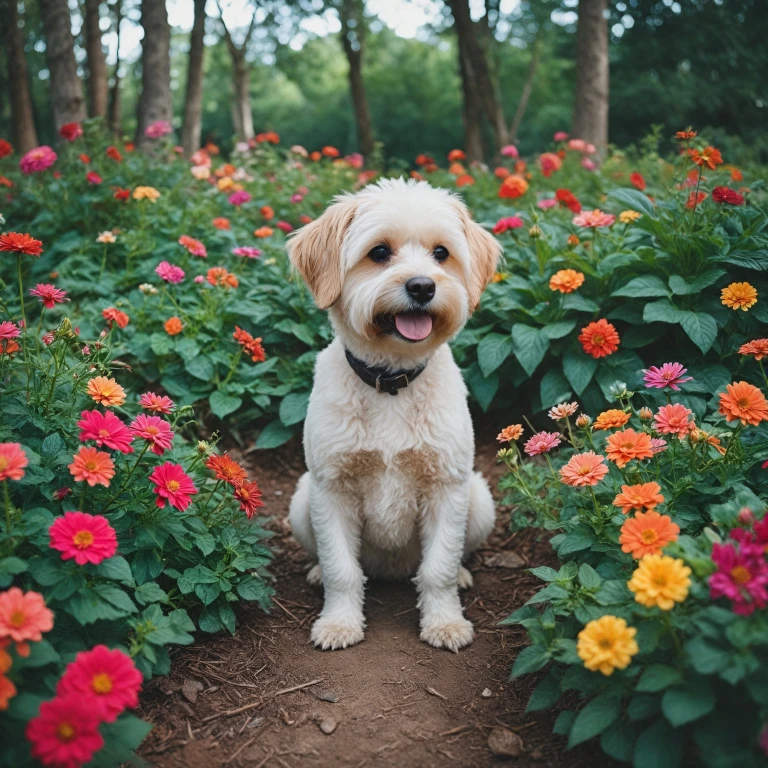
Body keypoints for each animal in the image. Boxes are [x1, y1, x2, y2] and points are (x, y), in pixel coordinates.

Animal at [284, 177, 500, 652]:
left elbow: (437, 569)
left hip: (478, 499)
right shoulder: (332, 489)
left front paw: (445, 623)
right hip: (302, 500)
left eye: (441, 253)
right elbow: (341, 570)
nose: (422, 287)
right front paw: (339, 623)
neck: (391, 382)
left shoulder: (446, 487)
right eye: (379, 252)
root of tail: (392, 569)